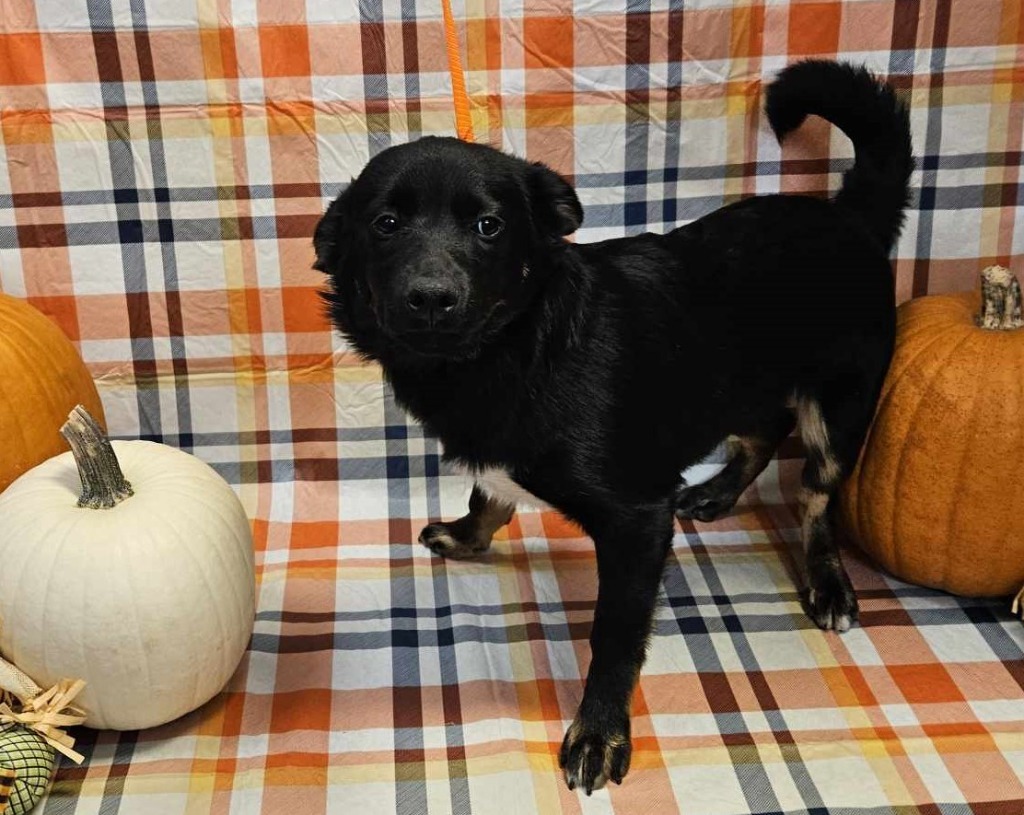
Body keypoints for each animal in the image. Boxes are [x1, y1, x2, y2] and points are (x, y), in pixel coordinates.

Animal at [315, 60, 917, 794]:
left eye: (489, 226)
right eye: (386, 223)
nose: (431, 298)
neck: (511, 348)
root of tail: (848, 215)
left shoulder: (635, 522)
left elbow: (614, 636)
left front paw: (599, 731)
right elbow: (489, 493)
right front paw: (469, 534)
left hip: (838, 407)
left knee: (816, 494)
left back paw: (827, 581)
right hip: (736, 384)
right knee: (764, 432)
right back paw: (716, 492)